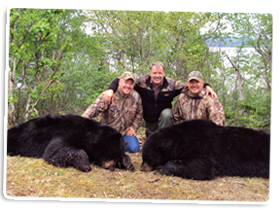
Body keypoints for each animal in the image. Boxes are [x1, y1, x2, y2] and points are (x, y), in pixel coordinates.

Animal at [7, 115, 135, 172]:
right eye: (112, 153)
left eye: (117, 156)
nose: (112, 167)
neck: (87, 132)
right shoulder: (64, 132)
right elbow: (53, 151)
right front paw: (85, 164)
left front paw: (127, 163)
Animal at [141, 120, 270, 180]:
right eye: (143, 156)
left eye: (149, 157)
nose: (142, 168)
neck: (179, 139)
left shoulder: (202, 148)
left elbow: (203, 167)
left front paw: (161, 170)